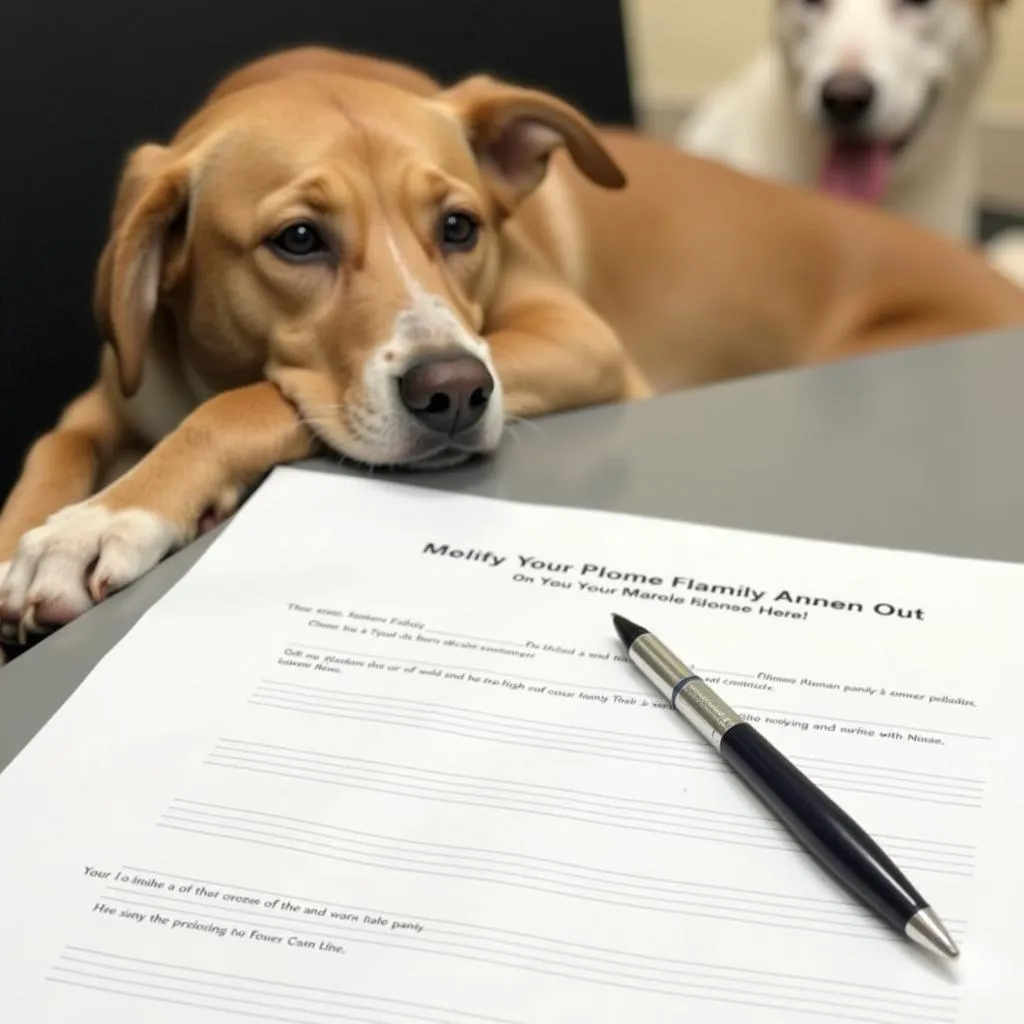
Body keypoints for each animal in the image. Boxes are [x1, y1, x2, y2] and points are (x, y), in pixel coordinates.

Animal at [0, 44, 1024, 651]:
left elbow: (243, 405)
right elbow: (53, 448)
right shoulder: (112, 392)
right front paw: (44, 530)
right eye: (297, 240)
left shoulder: (581, 343)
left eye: (459, 226)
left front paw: (108, 519)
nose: (454, 391)